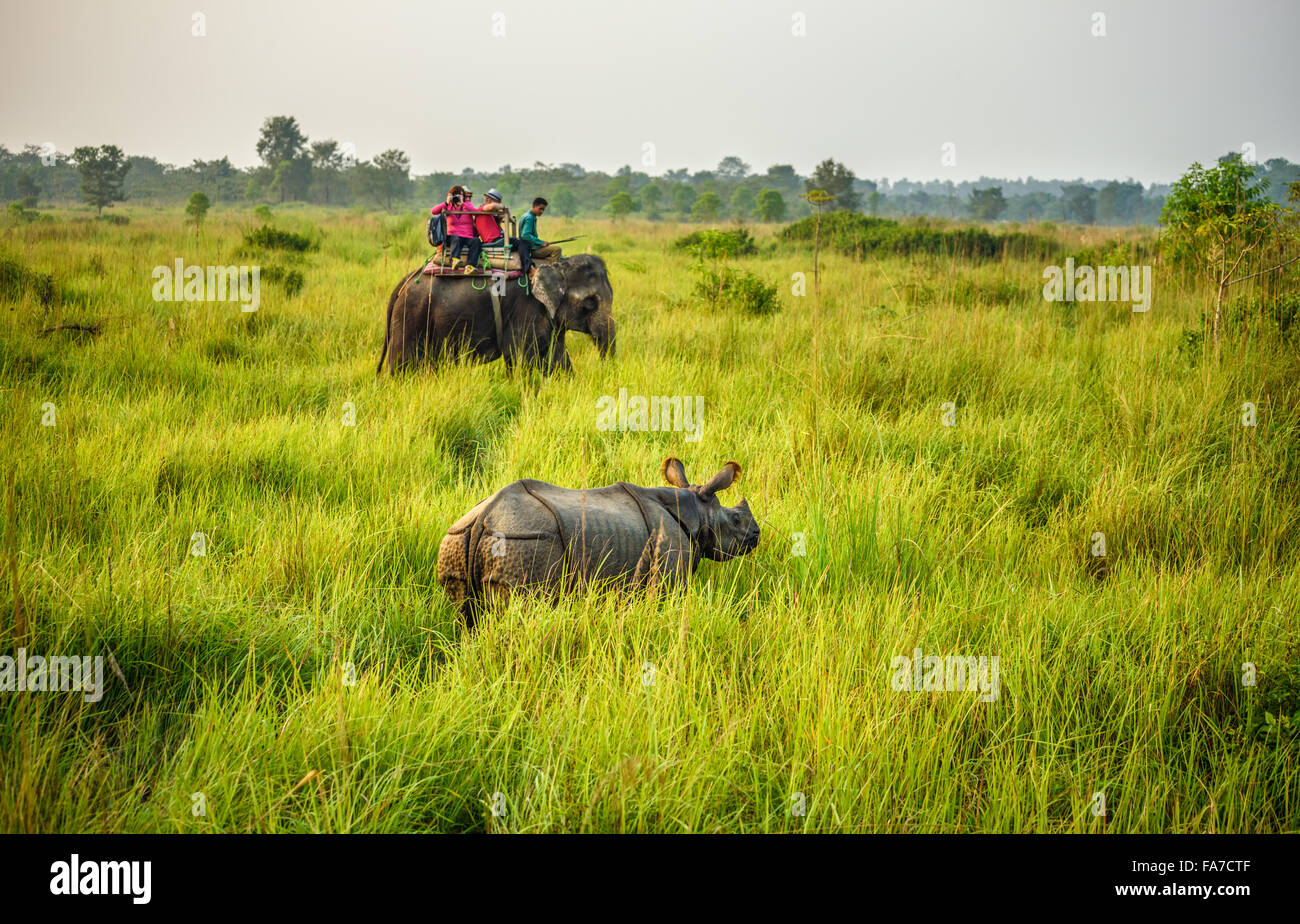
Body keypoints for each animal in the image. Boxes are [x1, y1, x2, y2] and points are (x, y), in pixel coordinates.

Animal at [379, 254, 616, 374]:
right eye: (590, 302)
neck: (556, 265)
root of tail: (406, 279)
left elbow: (557, 357)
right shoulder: (525, 308)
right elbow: (520, 358)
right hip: (411, 314)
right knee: (401, 363)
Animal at [436, 457, 759, 628]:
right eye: (736, 520)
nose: (757, 534)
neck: (696, 512)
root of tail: (484, 517)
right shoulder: (669, 570)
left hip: (459, 538)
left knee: (464, 615)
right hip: (526, 542)